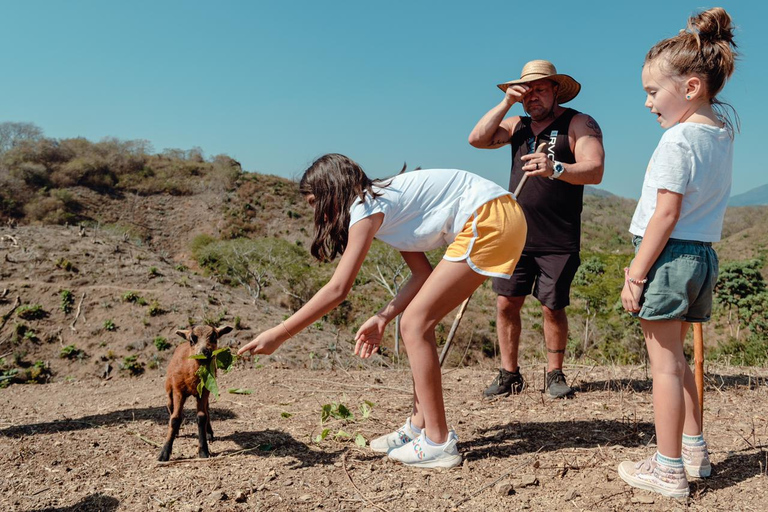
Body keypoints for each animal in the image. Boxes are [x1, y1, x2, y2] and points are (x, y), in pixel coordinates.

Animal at [158, 326, 232, 462]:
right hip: (169, 388)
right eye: (192, 340)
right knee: (170, 407)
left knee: (207, 410)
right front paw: (164, 453)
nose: (204, 352)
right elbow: (175, 419)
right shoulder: (178, 391)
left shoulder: (203, 391)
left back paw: (209, 433)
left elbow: (202, 417)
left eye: (214, 337)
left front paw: (203, 451)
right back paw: (176, 432)